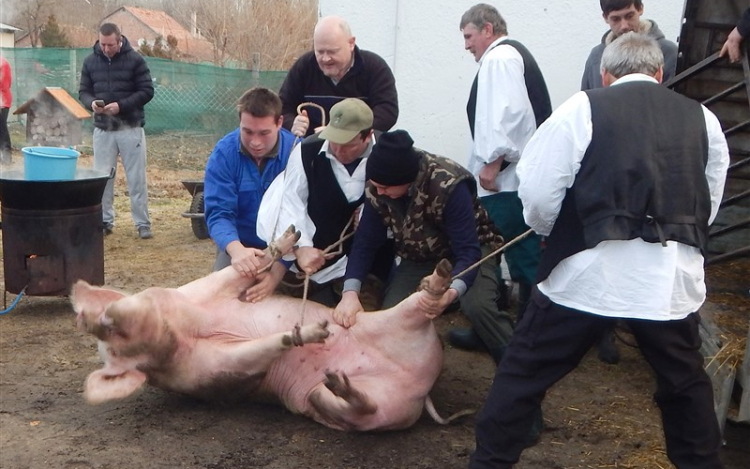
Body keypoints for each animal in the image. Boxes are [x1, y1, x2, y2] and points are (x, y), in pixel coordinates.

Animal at [72, 225, 470, 430]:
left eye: (109, 330)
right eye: (115, 342)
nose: (95, 320)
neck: (184, 330)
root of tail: (422, 386)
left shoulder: (201, 291)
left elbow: (243, 270)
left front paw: (289, 237)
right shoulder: (212, 376)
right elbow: (256, 351)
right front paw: (312, 333)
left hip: (388, 322)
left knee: (420, 307)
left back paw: (439, 277)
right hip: (363, 406)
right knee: (359, 410)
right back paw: (338, 382)